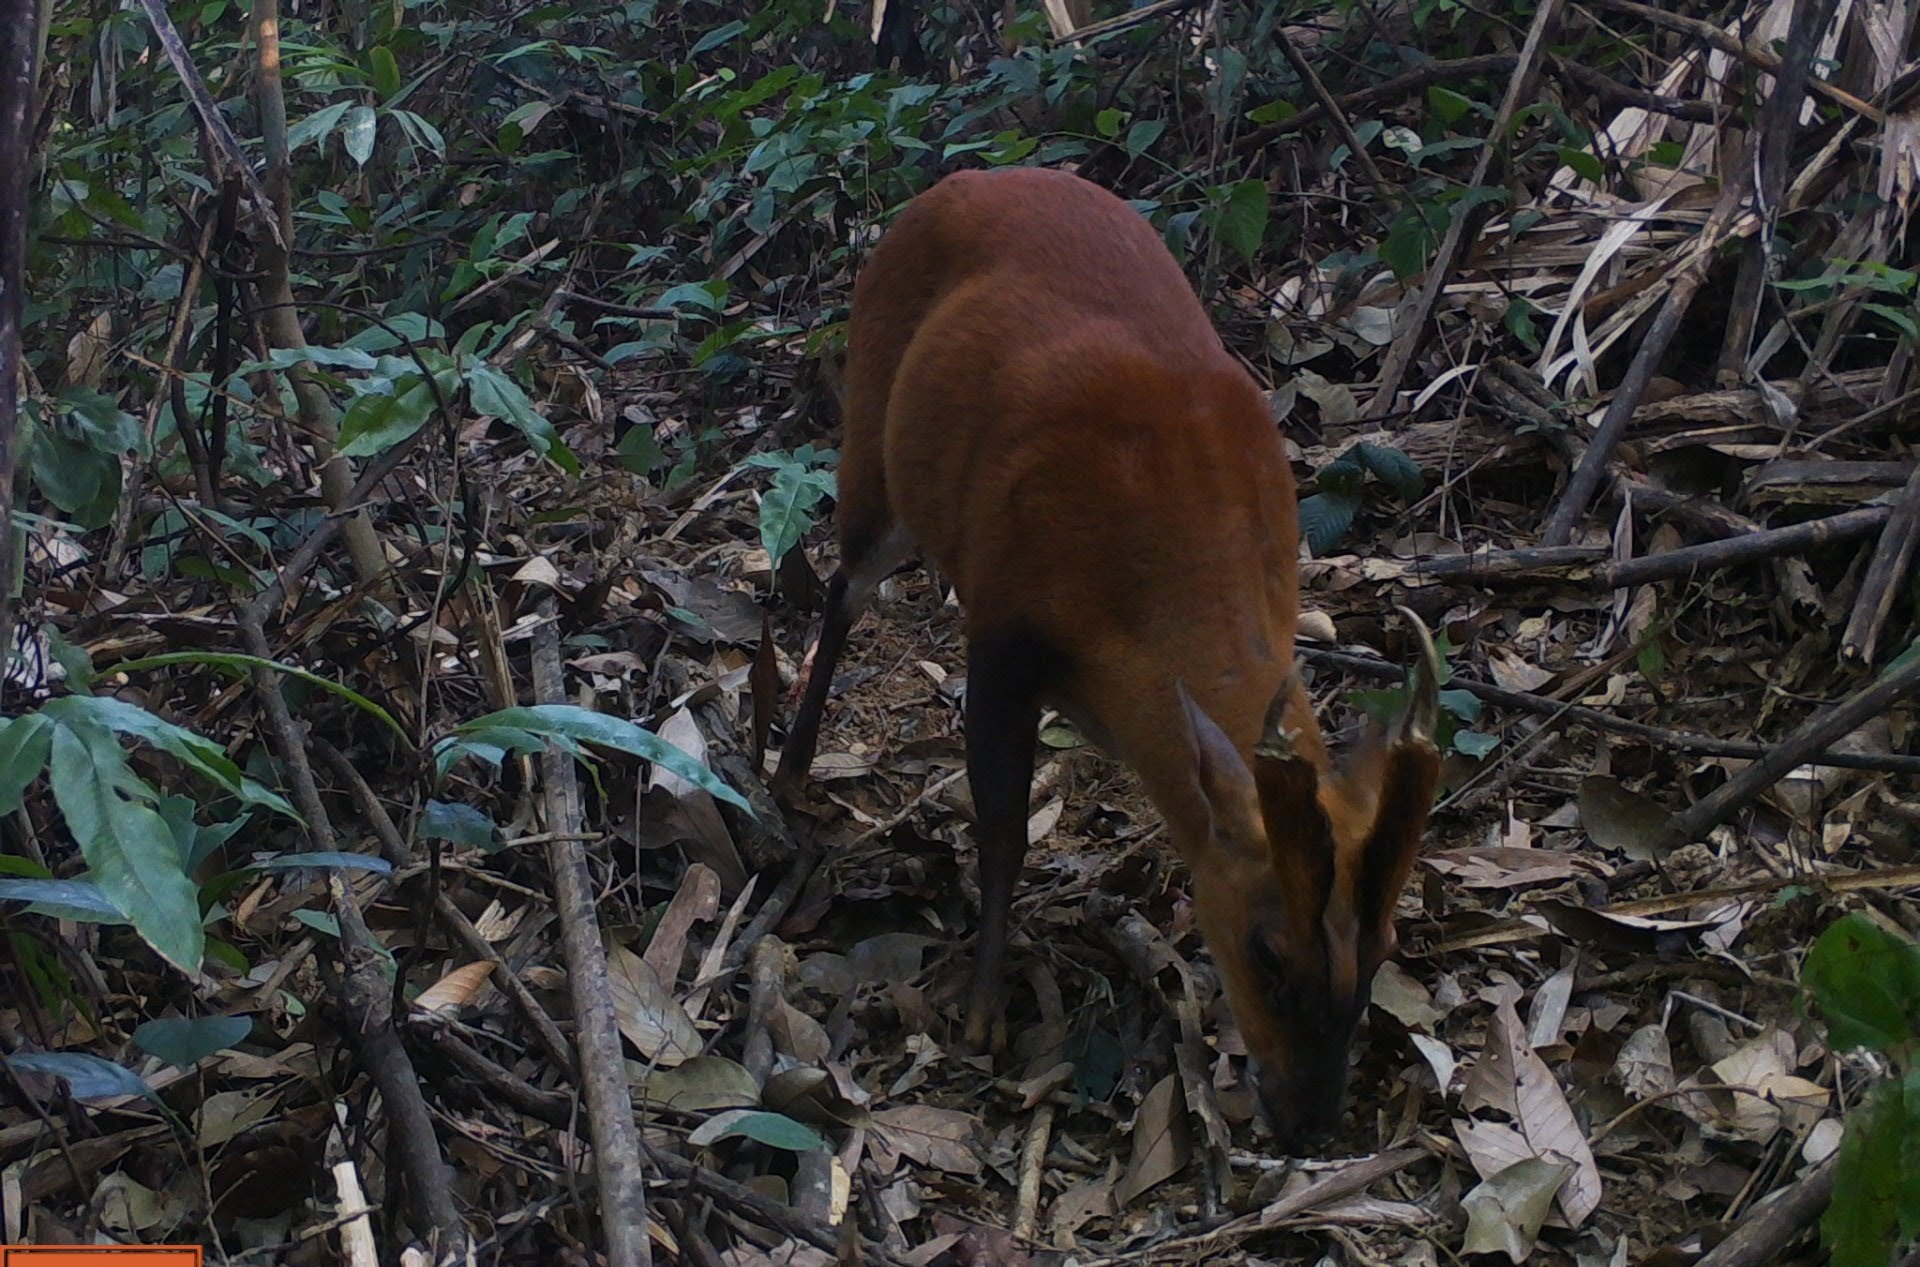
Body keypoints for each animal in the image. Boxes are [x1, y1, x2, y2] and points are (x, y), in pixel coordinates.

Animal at [771, 166, 1436, 1151]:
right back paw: (791, 773)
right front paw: (983, 1014)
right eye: (1267, 954)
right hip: (872, 441)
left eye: (1383, 948)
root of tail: (958, 180)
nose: (1309, 1125)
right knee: (841, 585)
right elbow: (1003, 827)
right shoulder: (1002, 630)